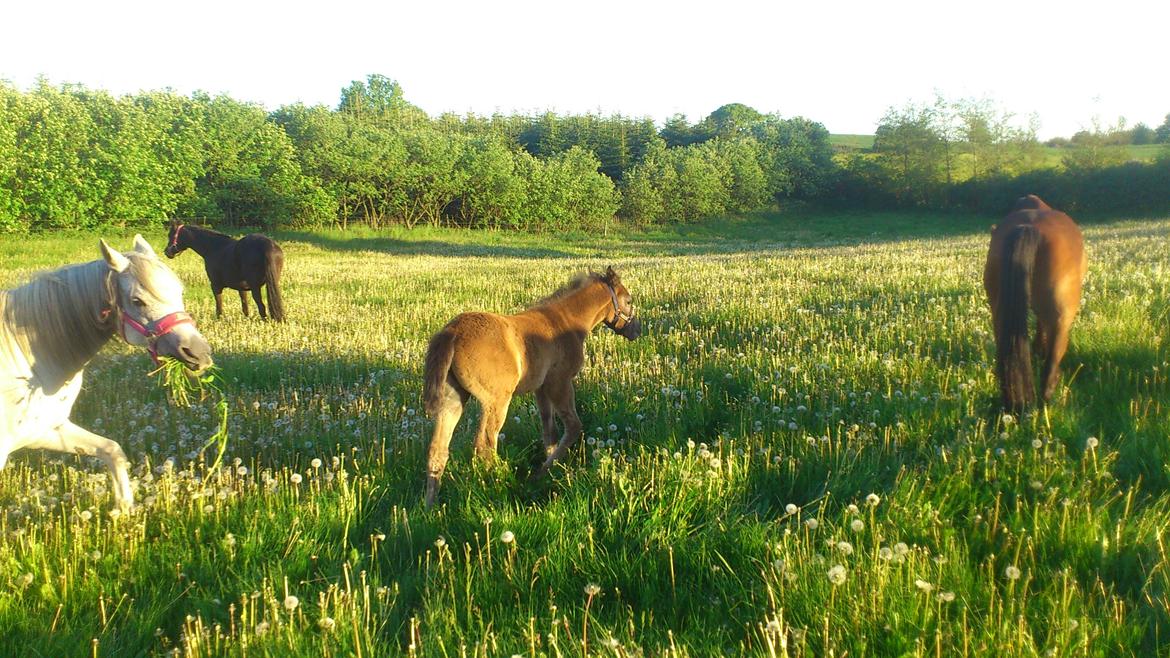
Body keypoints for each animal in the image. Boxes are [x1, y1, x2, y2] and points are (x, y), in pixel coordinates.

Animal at [1, 232, 210, 510]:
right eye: (137, 301)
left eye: (179, 291)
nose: (199, 353)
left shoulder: (46, 430)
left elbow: (113, 450)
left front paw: (125, 510)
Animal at [421, 263, 641, 503]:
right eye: (628, 300)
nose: (637, 331)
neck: (565, 321)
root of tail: (452, 332)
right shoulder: (560, 383)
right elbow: (573, 427)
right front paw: (540, 473)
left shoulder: (541, 389)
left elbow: (549, 433)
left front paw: (550, 469)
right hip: (496, 401)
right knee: (484, 445)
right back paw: (497, 485)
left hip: (453, 399)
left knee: (437, 450)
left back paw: (430, 506)